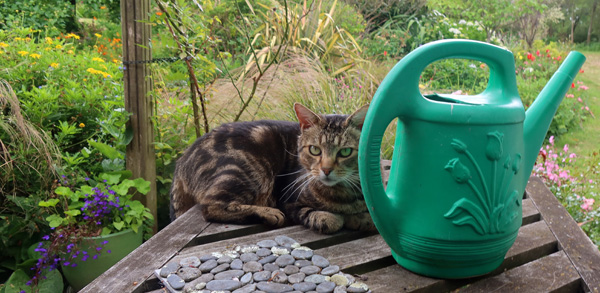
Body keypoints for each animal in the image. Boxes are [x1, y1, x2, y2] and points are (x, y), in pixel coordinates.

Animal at [170, 102, 376, 233]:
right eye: (315, 150)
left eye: (345, 152)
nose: (326, 170)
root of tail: (181, 161)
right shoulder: (289, 200)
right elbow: (325, 217)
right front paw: (338, 217)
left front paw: (361, 218)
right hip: (246, 171)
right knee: (211, 207)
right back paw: (267, 213)